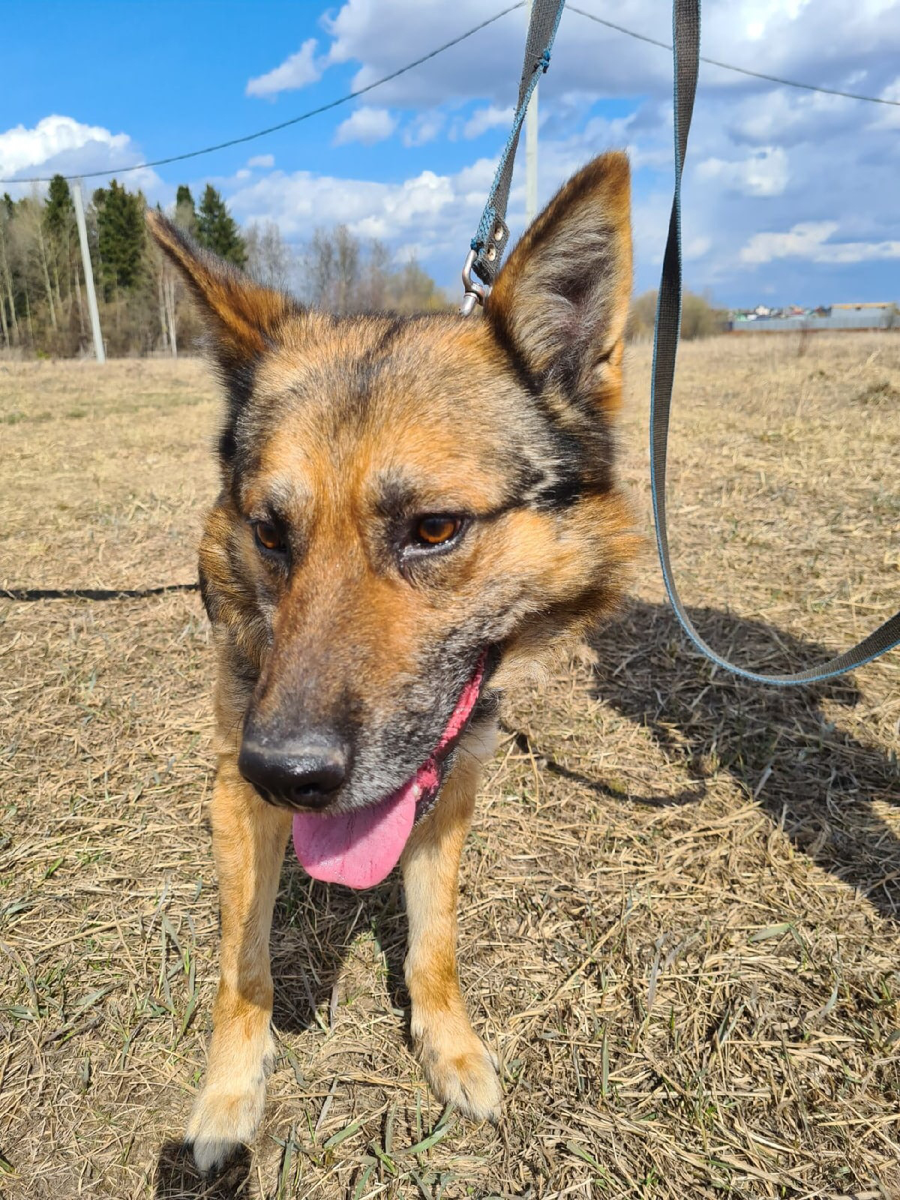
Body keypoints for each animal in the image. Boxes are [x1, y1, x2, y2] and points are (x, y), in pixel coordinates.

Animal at [148, 150, 638, 1171]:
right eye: (271, 531)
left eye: (435, 529)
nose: (286, 774)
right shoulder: (235, 798)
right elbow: (243, 968)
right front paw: (227, 1098)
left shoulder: (450, 787)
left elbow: (434, 944)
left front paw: (449, 1046)